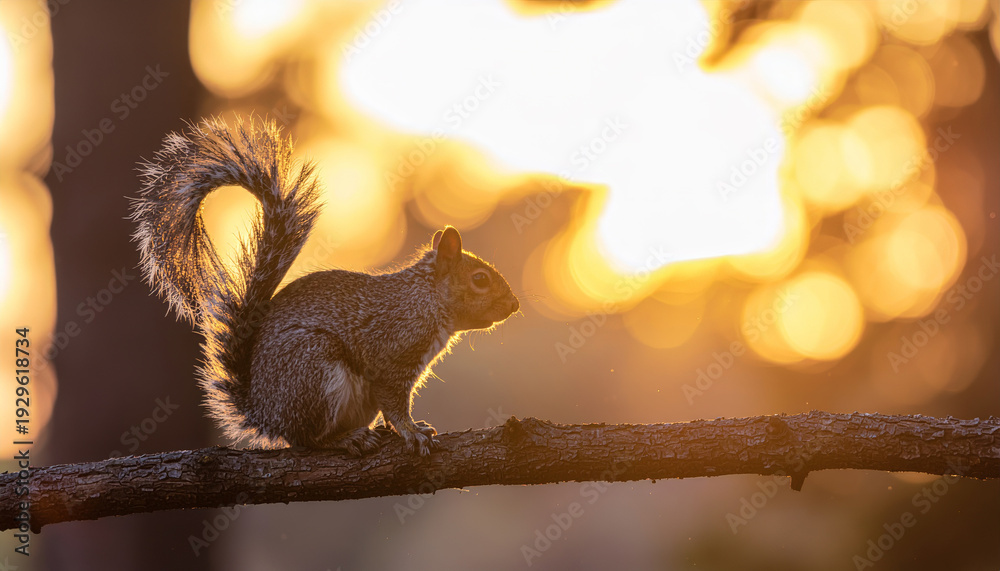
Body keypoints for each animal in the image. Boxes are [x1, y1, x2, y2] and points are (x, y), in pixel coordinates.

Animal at [130, 117, 519, 456]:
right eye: (480, 279)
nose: (515, 305)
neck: (426, 300)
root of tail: (266, 414)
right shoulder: (391, 356)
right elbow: (395, 404)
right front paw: (411, 432)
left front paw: (412, 428)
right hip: (314, 370)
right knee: (307, 439)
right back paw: (344, 439)